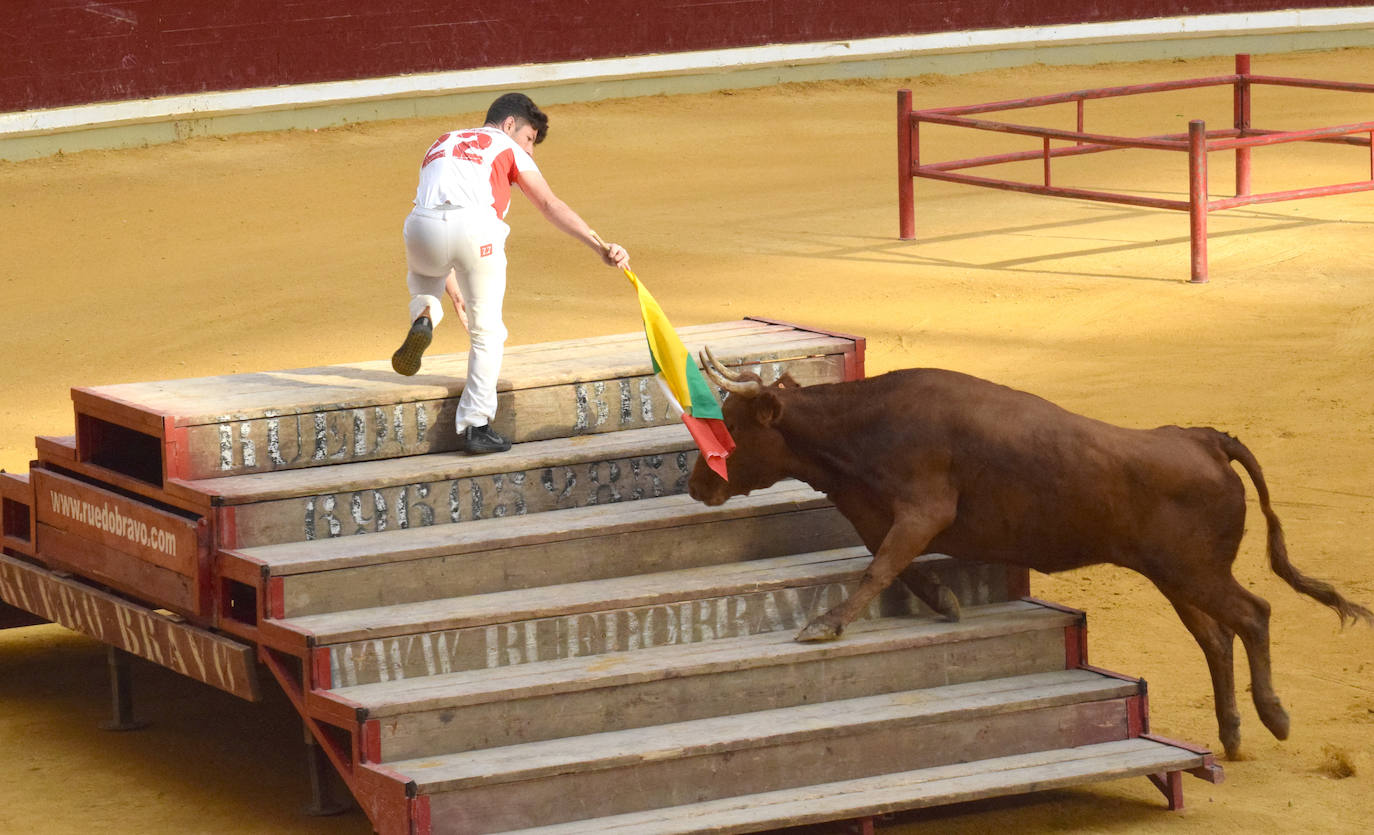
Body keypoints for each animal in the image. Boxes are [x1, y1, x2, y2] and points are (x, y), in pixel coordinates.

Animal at [692, 348, 1368, 758]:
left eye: (730, 425)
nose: (699, 484)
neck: (855, 430)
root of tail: (1203, 438)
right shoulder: (888, 517)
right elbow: (894, 563)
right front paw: (944, 599)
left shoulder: (922, 510)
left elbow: (880, 565)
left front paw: (825, 625)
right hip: (1175, 577)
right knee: (1216, 638)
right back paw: (1231, 732)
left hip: (1195, 572)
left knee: (1253, 615)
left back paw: (1274, 717)